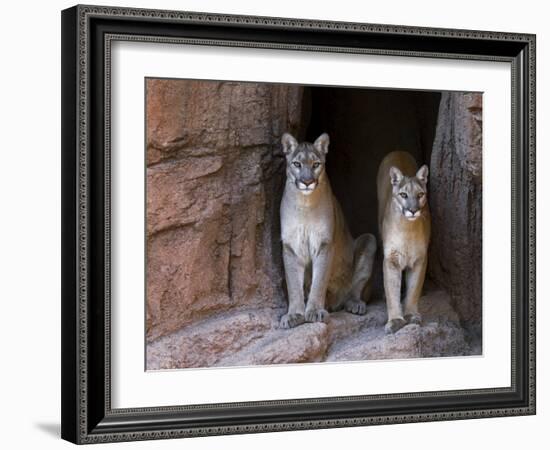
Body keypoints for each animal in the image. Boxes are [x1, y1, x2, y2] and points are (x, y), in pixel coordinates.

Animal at [280, 132, 380, 328]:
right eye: (297, 164)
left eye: (316, 164)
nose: (307, 182)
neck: (304, 204)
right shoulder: (291, 246)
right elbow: (293, 285)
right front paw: (294, 314)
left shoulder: (324, 244)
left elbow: (319, 281)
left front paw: (314, 311)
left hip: (369, 240)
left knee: (356, 289)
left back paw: (354, 304)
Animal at [378, 151, 434, 334]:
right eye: (403, 195)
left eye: (420, 195)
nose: (413, 210)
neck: (407, 229)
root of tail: (397, 151)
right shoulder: (391, 259)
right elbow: (392, 291)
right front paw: (395, 320)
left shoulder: (420, 259)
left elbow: (414, 289)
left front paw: (411, 315)